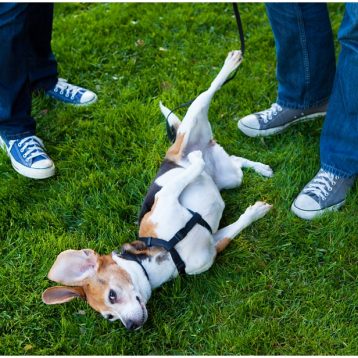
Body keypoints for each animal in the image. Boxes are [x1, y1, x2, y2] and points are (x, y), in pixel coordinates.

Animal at [42, 50, 272, 330]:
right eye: (110, 317)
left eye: (112, 296)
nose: (131, 327)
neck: (165, 256)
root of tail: (177, 149)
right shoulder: (213, 245)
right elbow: (235, 227)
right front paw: (255, 212)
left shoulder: (166, 195)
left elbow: (191, 171)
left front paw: (197, 164)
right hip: (230, 177)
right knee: (236, 163)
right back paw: (261, 168)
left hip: (192, 122)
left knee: (207, 92)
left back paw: (230, 64)